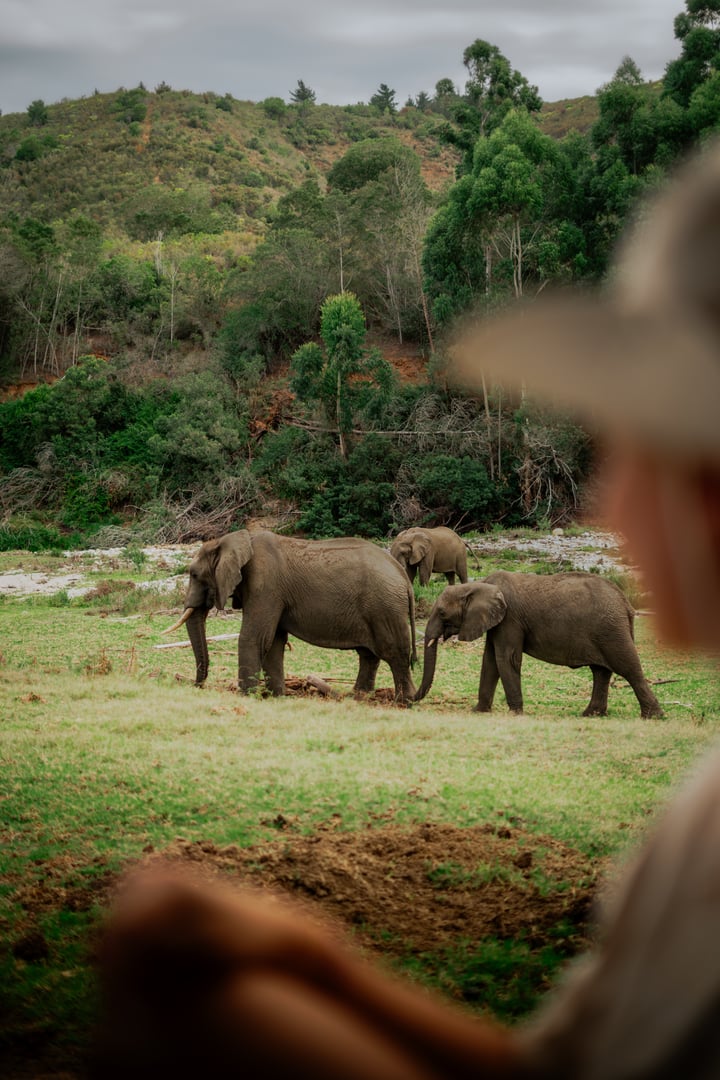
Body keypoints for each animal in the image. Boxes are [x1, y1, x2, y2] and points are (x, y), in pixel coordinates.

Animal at [164, 529, 417, 703]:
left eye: (194, 575)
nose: (197, 686)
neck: (234, 540)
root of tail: (403, 577)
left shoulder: (265, 585)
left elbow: (254, 637)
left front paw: (246, 696)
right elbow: (274, 642)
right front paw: (276, 696)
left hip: (385, 607)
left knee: (394, 652)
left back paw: (404, 701)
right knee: (369, 655)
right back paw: (357, 698)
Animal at [414, 570, 664, 718]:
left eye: (442, 613)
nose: (410, 701)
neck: (479, 585)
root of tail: (626, 602)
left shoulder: (510, 619)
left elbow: (506, 658)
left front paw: (515, 713)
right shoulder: (497, 622)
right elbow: (490, 660)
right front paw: (478, 711)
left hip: (611, 630)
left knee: (628, 668)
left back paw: (653, 716)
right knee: (601, 672)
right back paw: (590, 714)